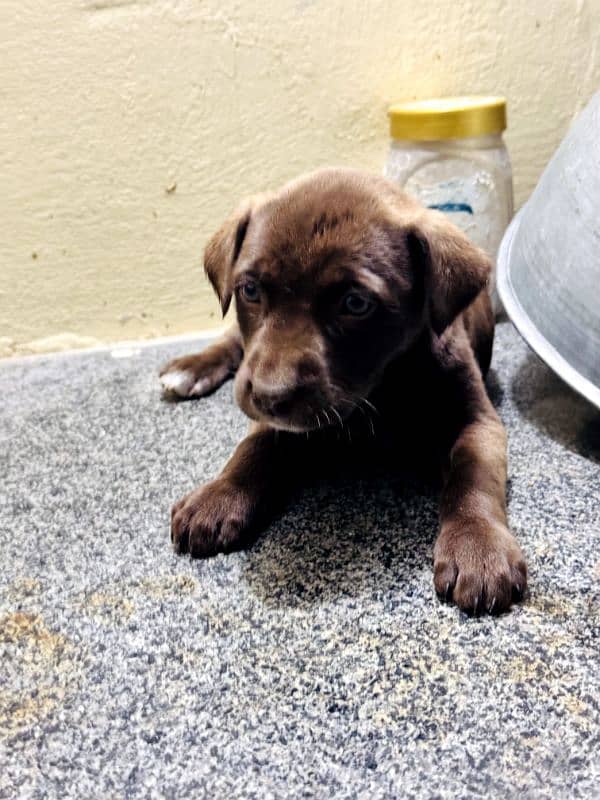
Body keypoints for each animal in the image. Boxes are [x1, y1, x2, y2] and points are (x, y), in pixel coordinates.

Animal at [159, 169, 524, 616]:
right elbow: (253, 448)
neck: (378, 392)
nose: (269, 396)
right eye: (250, 291)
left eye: (355, 303)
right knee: (231, 341)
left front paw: (479, 546)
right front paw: (219, 496)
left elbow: (474, 473)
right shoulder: (275, 414)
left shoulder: (477, 420)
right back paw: (190, 368)